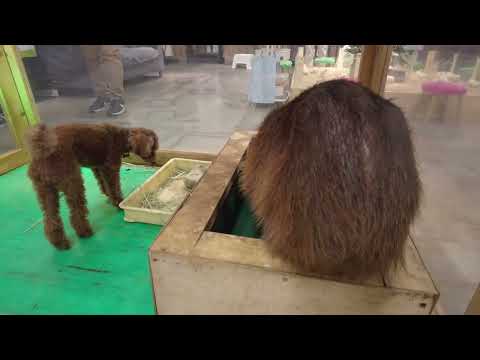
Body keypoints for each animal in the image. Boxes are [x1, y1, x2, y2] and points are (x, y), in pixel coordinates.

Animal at [26, 124, 158, 250]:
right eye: (152, 149)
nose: (154, 162)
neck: (122, 137)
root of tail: (43, 151)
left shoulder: (97, 167)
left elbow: (103, 184)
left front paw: (108, 197)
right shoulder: (110, 168)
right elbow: (114, 187)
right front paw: (118, 202)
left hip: (46, 192)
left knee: (51, 219)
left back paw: (59, 243)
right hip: (73, 183)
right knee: (77, 212)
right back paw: (84, 232)